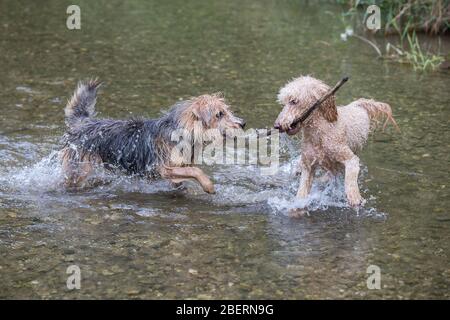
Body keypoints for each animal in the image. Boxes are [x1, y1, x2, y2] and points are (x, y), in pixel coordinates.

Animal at [59, 79, 244, 192]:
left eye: (227, 111)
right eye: (219, 114)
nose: (242, 123)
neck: (183, 131)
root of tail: (83, 123)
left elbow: (185, 174)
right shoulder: (164, 167)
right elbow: (195, 170)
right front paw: (208, 186)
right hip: (79, 168)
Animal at [274, 75, 398, 206]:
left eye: (294, 101)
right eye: (284, 102)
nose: (276, 126)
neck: (319, 134)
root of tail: (358, 104)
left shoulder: (351, 160)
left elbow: (350, 183)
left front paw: (355, 199)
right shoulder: (308, 167)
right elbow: (301, 195)